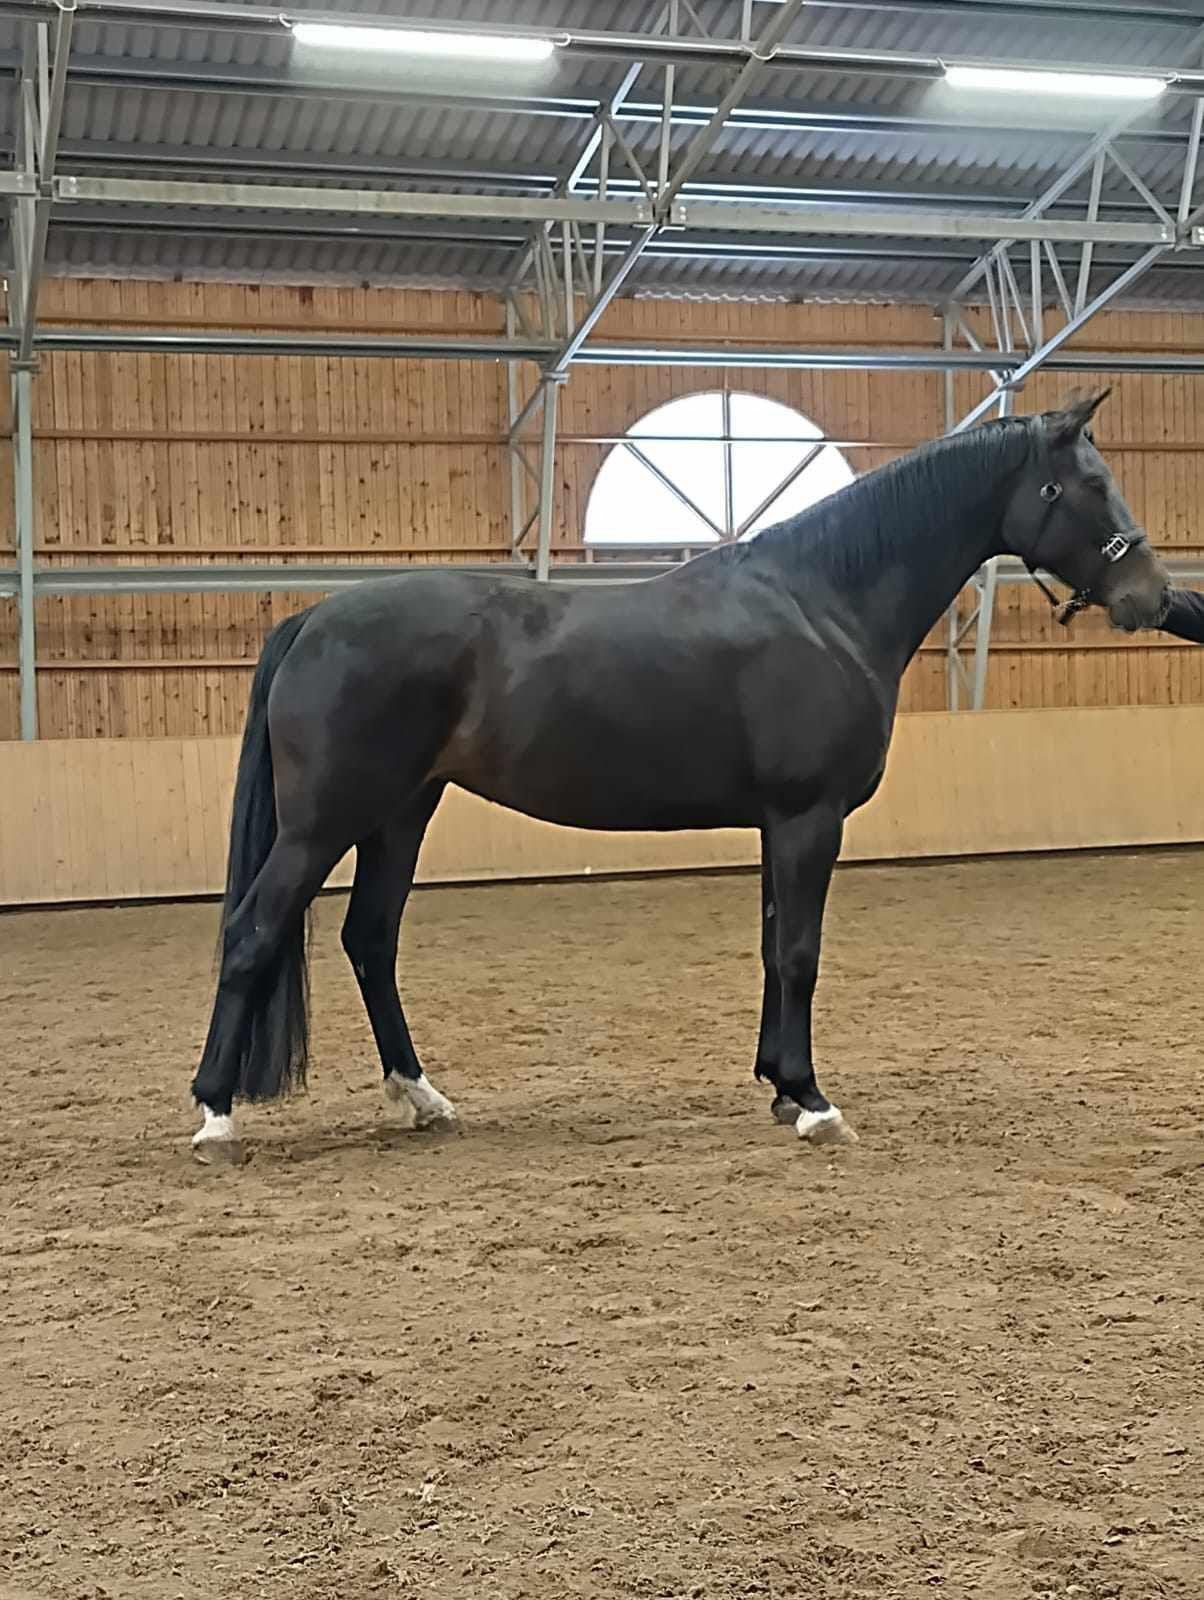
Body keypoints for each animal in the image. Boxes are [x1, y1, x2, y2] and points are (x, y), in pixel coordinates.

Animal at [189, 389, 1170, 1165]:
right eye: (1086, 485)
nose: (1154, 598)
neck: (825, 602)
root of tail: (313, 619)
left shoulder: (782, 823)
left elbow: (776, 948)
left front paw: (779, 1086)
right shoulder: (809, 817)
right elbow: (801, 953)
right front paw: (815, 1104)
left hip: (400, 813)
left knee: (370, 939)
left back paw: (420, 1097)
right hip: (324, 822)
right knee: (253, 932)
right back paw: (214, 1117)